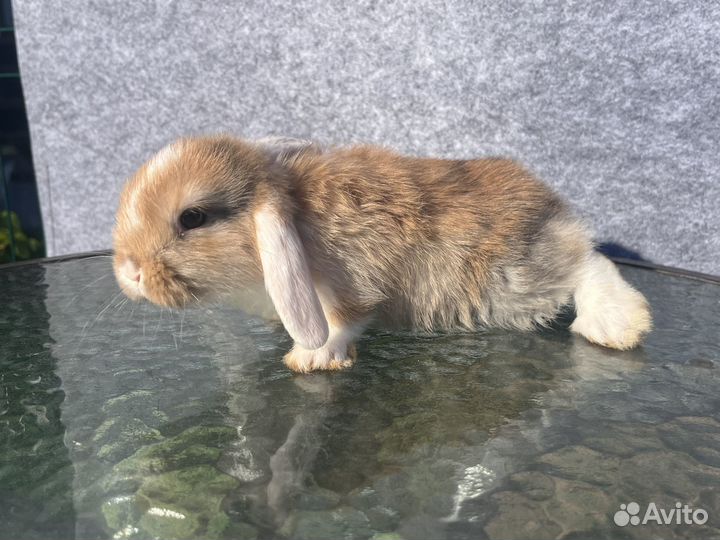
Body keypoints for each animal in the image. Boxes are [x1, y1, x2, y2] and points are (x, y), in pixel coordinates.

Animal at [113, 135, 652, 373]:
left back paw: (614, 326)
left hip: (518, 279)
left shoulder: (349, 282)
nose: (128, 272)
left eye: (192, 218)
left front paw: (311, 358)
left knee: (589, 263)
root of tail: (553, 207)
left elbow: (345, 320)